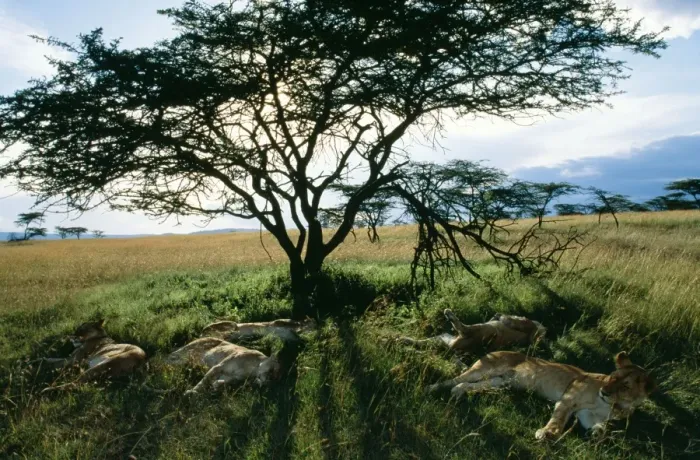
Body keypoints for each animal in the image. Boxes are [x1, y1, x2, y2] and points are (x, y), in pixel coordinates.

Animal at [398, 309, 546, 353]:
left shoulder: (529, 328)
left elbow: (517, 320)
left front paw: (504, 318)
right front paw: (499, 316)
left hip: (483, 328)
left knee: (464, 328)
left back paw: (449, 314)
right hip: (443, 338)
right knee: (423, 343)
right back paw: (402, 340)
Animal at [428, 351, 656, 440]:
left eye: (624, 386)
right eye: (612, 377)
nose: (604, 391)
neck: (613, 405)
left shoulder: (586, 414)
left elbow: (600, 426)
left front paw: (598, 433)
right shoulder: (569, 396)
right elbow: (559, 419)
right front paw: (548, 433)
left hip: (499, 382)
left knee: (467, 384)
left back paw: (457, 392)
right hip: (486, 369)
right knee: (456, 378)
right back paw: (432, 388)